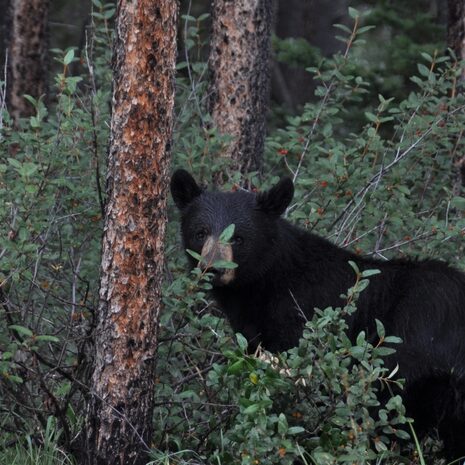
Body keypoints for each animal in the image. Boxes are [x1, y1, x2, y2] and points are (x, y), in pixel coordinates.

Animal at [170, 168, 464, 460]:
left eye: (239, 238)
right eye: (200, 232)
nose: (212, 268)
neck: (266, 283)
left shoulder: (300, 320)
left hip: (412, 362)